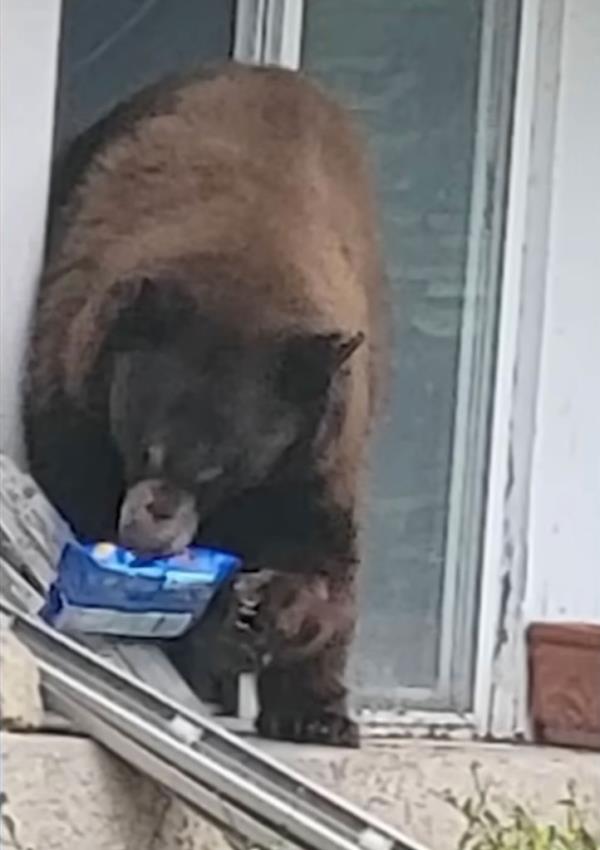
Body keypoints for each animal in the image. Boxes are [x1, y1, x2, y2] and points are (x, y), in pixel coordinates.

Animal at [24, 62, 385, 747]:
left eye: (222, 469)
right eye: (145, 446)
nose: (149, 537)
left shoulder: (318, 440)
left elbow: (322, 552)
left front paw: (267, 611)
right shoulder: (74, 381)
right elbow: (74, 491)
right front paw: (209, 625)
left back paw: (319, 714)